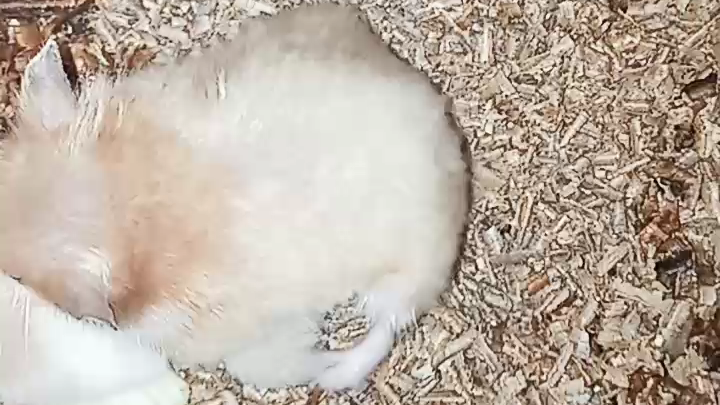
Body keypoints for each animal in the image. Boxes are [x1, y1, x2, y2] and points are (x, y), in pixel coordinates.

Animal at [0, 3, 469, 405]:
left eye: (19, 277)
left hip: (409, 267)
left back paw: (334, 371)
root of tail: (452, 138)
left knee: (387, 324)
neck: (133, 197)